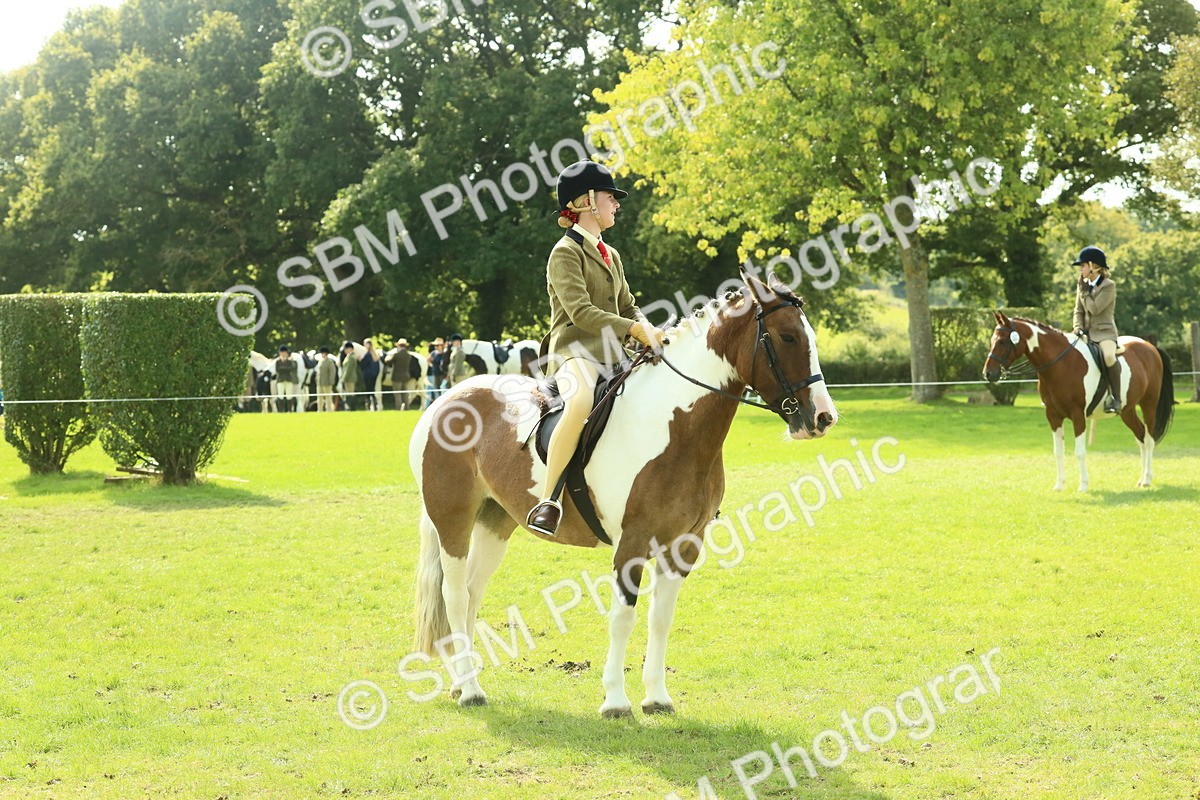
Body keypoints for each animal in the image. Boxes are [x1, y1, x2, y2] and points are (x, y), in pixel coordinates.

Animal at [409, 273, 837, 716]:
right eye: (787, 337)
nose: (824, 417)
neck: (674, 426)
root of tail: (445, 399)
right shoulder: (631, 543)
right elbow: (622, 617)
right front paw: (615, 700)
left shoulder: (684, 544)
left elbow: (660, 619)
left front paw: (657, 697)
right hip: (453, 520)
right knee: (454, 595)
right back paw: (471, 691)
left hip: (496, 521)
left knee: (472, 592)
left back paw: (462, 682)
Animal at [982, 312, 1174, 491]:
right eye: (992, 340)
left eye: (1002, 342)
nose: (988, 374)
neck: (1060, 364)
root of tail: (1150, 346)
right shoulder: (1053, 415)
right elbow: (1058, 452)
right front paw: (1059, 485)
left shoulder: (1078, 414)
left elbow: (1080, 452)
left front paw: (1083, 485)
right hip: (1127, 410)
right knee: (1140, 437)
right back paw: (1141, 480)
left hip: (1149, 404)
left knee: (1149, 439)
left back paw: (1147, 479)